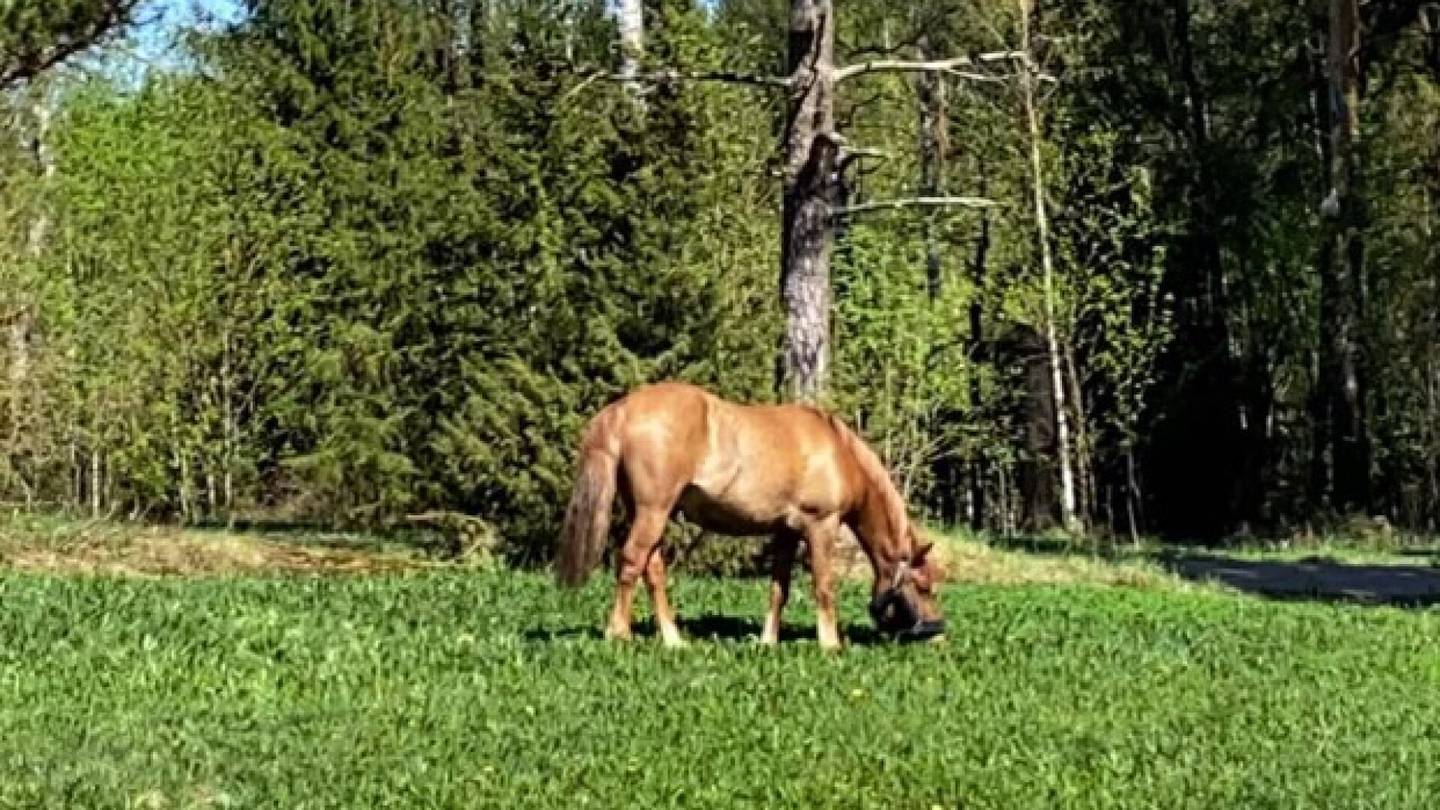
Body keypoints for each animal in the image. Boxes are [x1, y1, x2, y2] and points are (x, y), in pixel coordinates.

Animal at [550, 380, 944, 648]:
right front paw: (830, 644)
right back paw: (619, 633)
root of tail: (623, 408)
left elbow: (779, 588)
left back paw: (674, 639)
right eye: (923, 585)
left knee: (653, 569)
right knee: (632, 562)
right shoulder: (821, 526)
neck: (838, 451)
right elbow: (823, 585)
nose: (936, 632)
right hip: (653, 511)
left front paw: (768, 641)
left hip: (648, 513)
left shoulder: (786, 531)